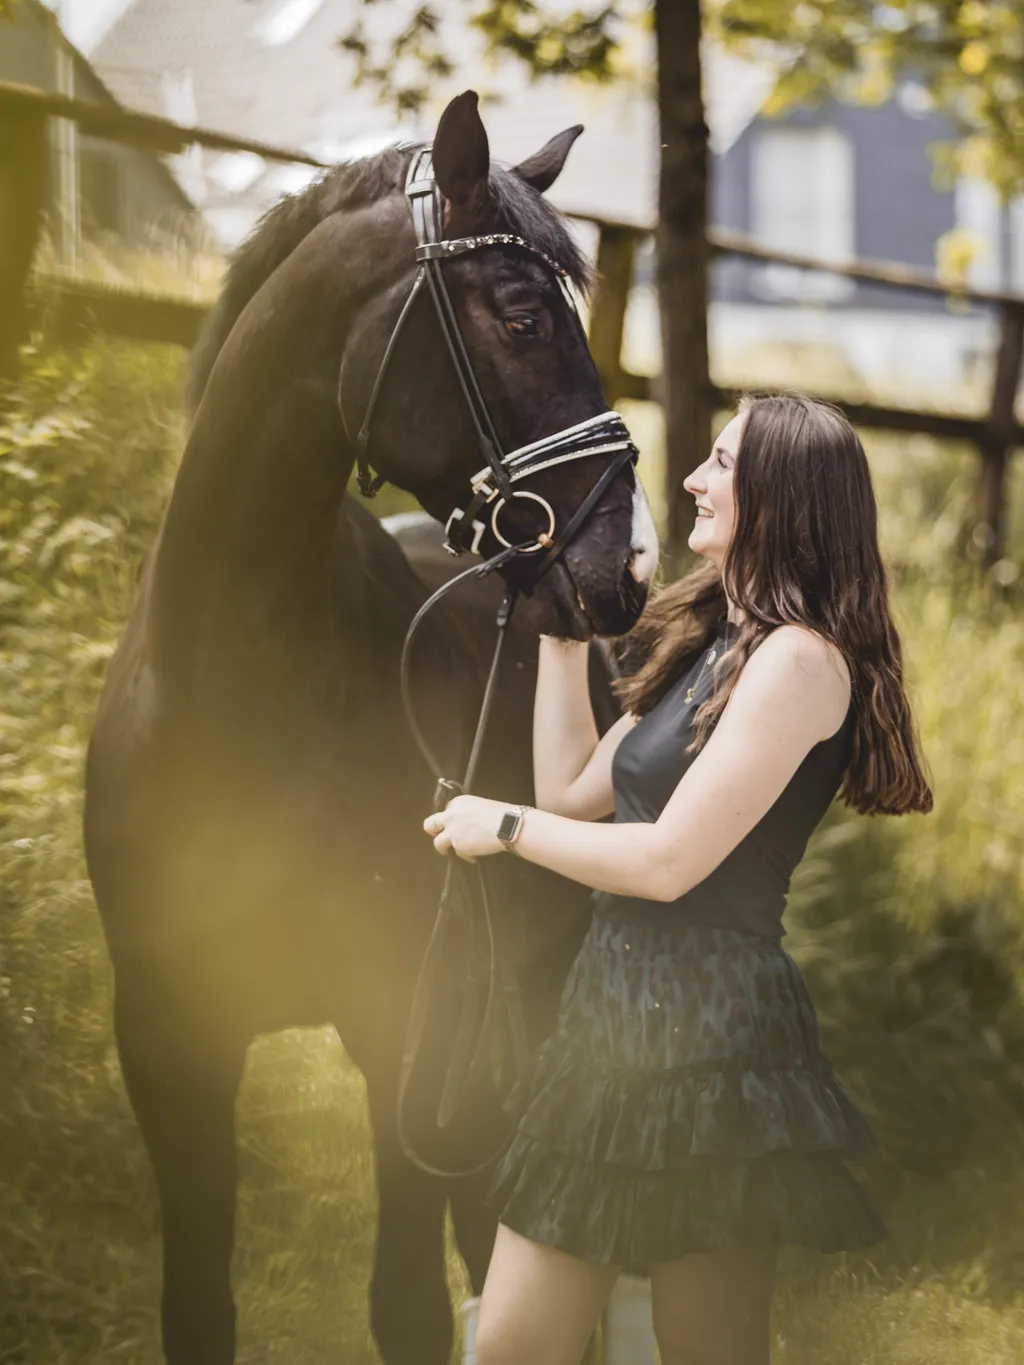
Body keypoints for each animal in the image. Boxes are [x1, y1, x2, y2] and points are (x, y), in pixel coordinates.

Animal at [84, 90, 658, 1365]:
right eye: (519, 314)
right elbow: (198, 1307)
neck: (238, 694)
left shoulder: (406, 1021)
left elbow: (407, 1306)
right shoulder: (168, 1037)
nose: (622, 572)